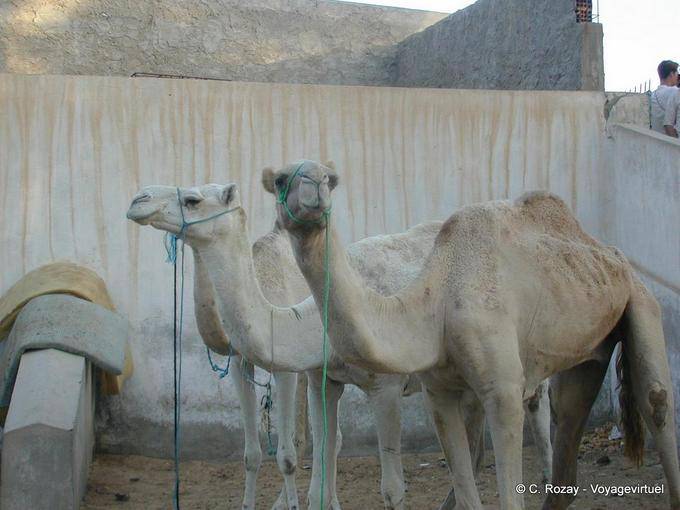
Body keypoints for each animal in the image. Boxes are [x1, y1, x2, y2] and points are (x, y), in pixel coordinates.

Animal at [127, 182, 553, 508]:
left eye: (192, 199)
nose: (138, 200)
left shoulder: (381, 387)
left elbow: (389, 488)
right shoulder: (319, 379)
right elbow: (314, 461)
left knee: (539, 418)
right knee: (473, 446)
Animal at [266, 160, 680, 510]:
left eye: (330, 179)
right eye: (281, 180)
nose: (315, 186)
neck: (438, 301)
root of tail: (605, 248)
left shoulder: (503, 389)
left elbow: (509, 495)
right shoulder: (438, 389)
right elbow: (466, 489)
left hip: (640, 300)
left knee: (656, 402)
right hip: (588, 345)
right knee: (568, 424)